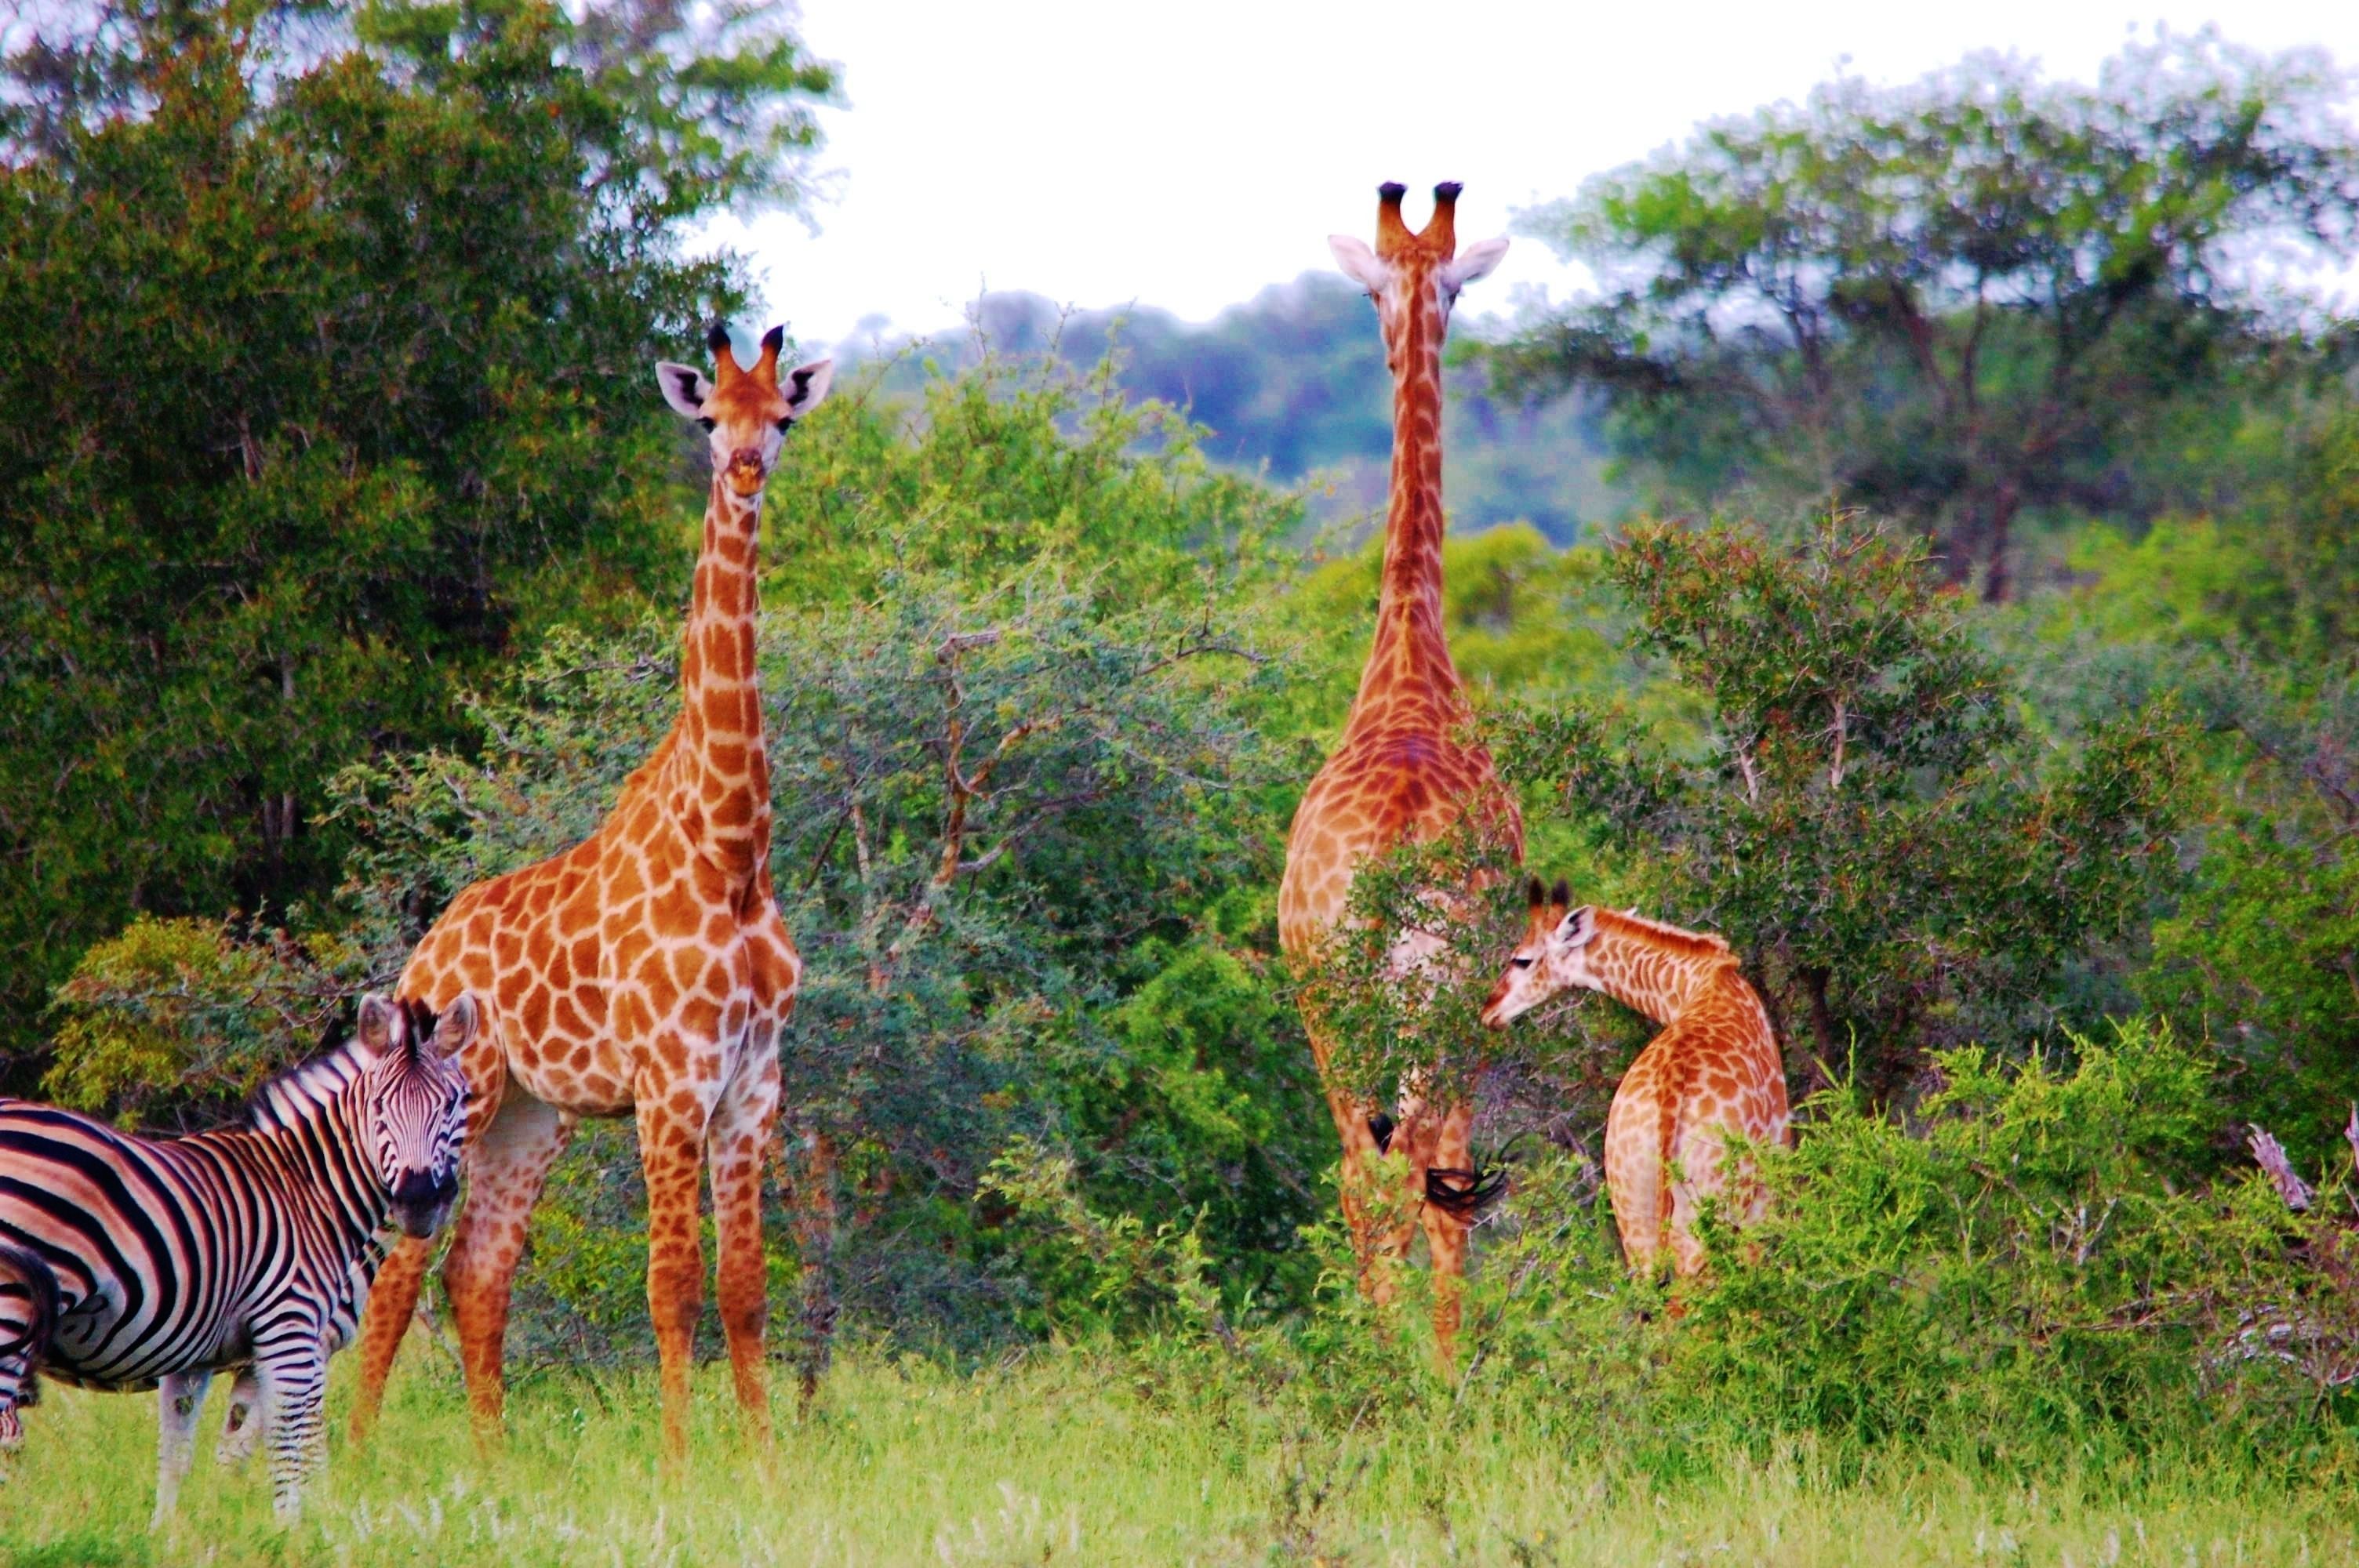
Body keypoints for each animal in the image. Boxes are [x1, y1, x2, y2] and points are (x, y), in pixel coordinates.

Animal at [0, 992, 472, 1524]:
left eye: (453, 1103)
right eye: (378, 1106)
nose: (418, 1202)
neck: (311, 1190)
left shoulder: (198, 1357)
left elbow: (189, 1453)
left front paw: (176, 1530)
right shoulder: (293, 1334)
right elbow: (294, 1448)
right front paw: (301, 1528)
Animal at [346, 323, 832, 1460]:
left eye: (781, 419)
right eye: (711, 419)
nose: (746, 469)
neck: (732, 848)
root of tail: (426, 947)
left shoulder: (754, 1081)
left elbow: (744, 1290)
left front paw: (765, 1468)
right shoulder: (670, 1081)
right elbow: (673, 1286)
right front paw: (681, 1467)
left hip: (534, 1113)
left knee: (478, 1270)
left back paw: (491, 1466)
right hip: (470, 1094)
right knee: (400, 1271)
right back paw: (347, 1460)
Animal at [1480, 882, 1791, 1279]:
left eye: (1522, 959)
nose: (1490, 1011)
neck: (1695, 982)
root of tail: (1669, 1096)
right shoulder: (1777, 1157)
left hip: (1633, 1211)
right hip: (1716, 1201)